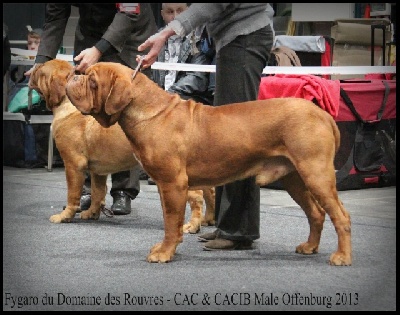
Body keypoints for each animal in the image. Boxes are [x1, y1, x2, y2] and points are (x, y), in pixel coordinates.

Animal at [29, 59, 214, 232]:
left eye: (41, 69)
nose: (34, 66)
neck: (67, 105)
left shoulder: (73, 165)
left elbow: (72, 195)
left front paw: (65, 216)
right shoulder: (98, 171)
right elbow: (97, 192)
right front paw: (92, 213)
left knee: (197, 197)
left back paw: (192, 225)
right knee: (210, 192)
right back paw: (208, 220)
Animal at [65, 61, 350, 266]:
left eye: (92, 81)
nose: (74, 74)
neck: (148, 111)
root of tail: (322, 114)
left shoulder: (173, 184)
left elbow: (172, 222)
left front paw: (164, 253)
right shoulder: (165, 185)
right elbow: (172, 220)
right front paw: (168, 248)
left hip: (316, 174)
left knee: (341, 216)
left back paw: (342, 257)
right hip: (294, 178)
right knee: (316, 213)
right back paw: (310, 247)